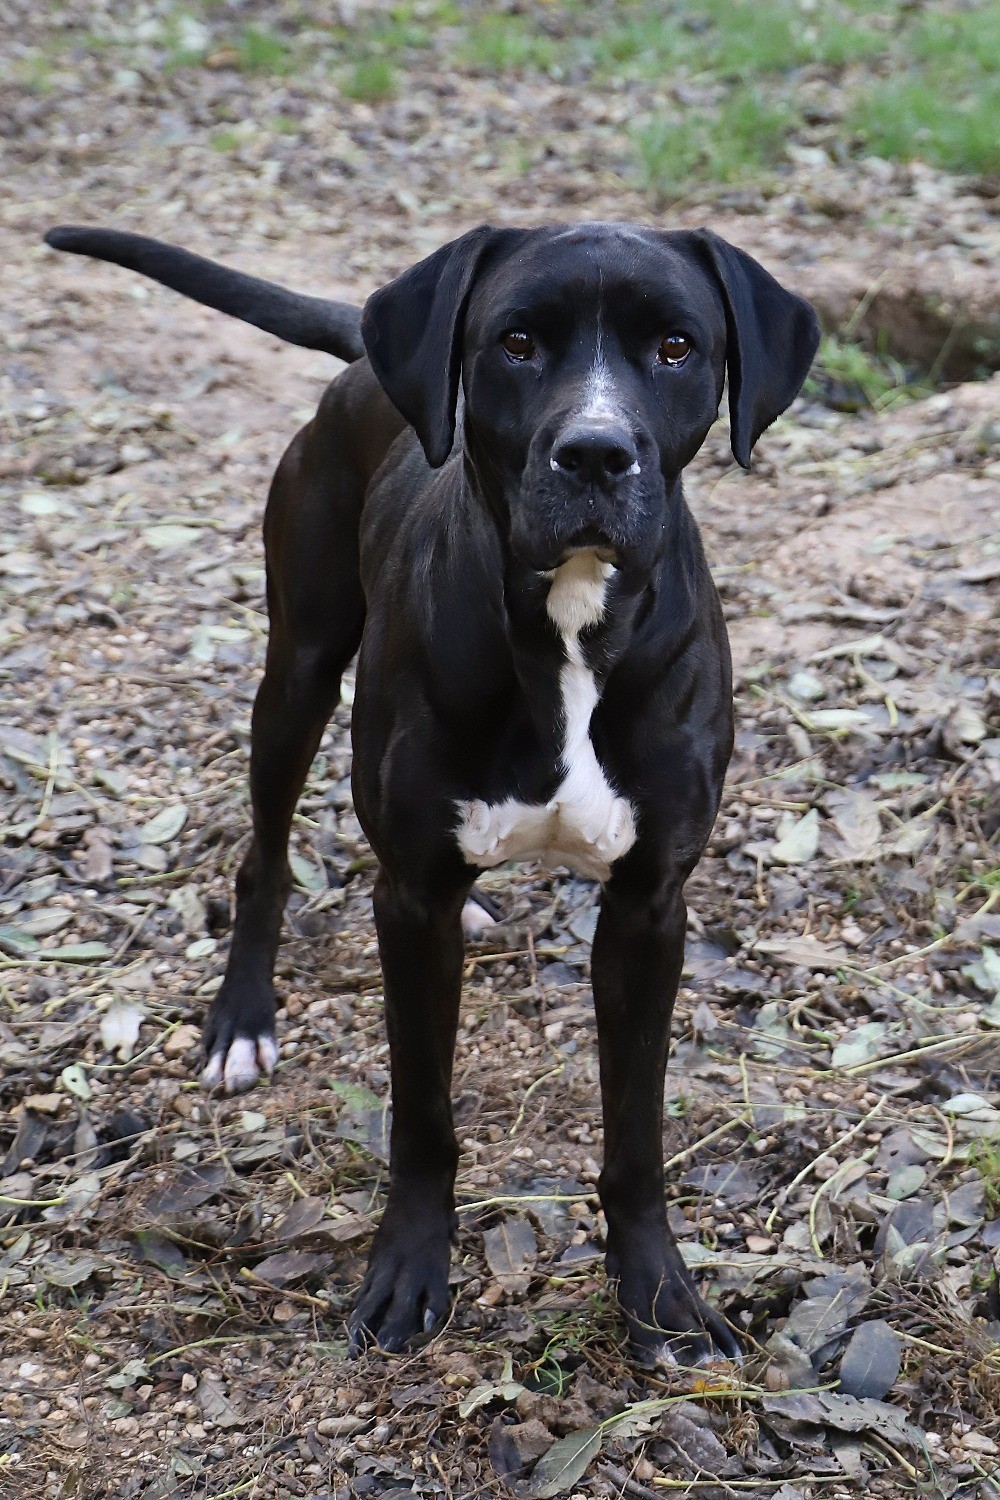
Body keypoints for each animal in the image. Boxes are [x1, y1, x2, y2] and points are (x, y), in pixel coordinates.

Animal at [44, 217, 821, 1368]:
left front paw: (659, 1293)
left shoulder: (650, 905)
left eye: (677, 346)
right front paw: (408, 1271)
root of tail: (365, 359)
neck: (569, 623)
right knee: (263, 856)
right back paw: (241, 1021)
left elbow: (635, 1126)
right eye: (517, 342)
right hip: (298, 667)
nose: (595, 452)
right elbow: (421, 1114)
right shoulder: (409, 902)